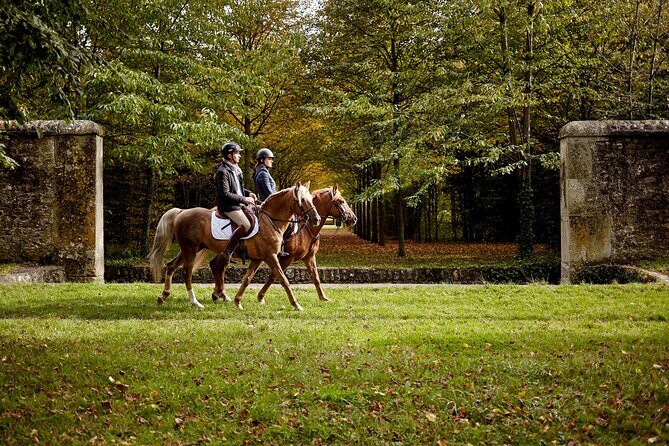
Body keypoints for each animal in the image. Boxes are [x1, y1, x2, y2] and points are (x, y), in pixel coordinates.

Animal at [148, 181, 320, 310]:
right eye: (302, 200)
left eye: (312, 199)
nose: (316, 219)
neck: (270, 221)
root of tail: (181, 212)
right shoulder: (271, 257)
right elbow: (283, 279)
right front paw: (296, 304)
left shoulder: (258, 259)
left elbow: (247, 279)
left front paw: (238, 301)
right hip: (190, 250)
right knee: (187, 273)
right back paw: (195, 302)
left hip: (191, 249)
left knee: (172, 266)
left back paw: (164, 295)